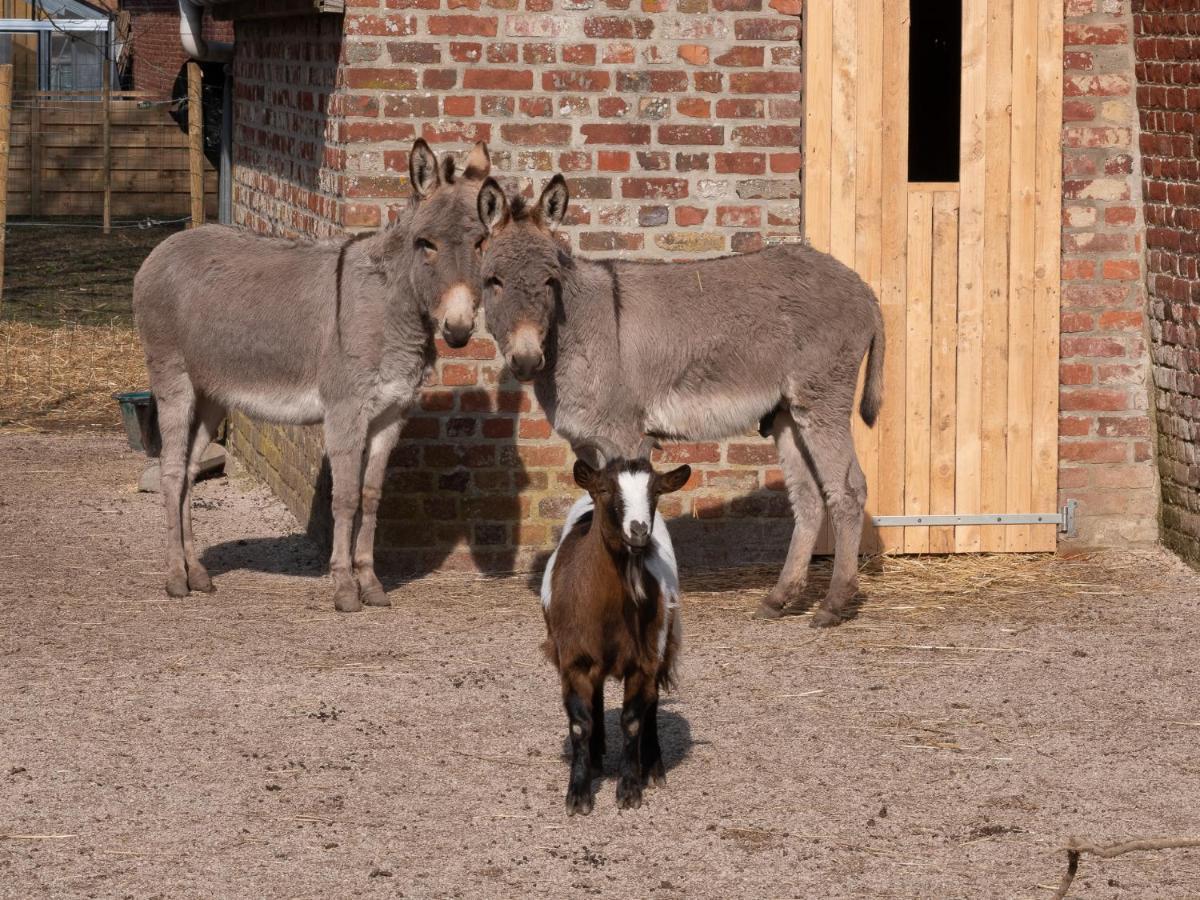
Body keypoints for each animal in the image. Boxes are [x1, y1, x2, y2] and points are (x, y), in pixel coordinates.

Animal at [540, 458, 691, 816]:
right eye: (606, 489)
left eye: (655, 492)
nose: (638, 530)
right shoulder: (573, 660)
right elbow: (580, 723)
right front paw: (578, 794)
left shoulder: (644, 659)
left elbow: (633, 720)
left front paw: (630, 788)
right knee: (595, 700)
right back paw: (595, 758)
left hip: (662, 642)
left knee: (651, 703)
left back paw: (653, 767)